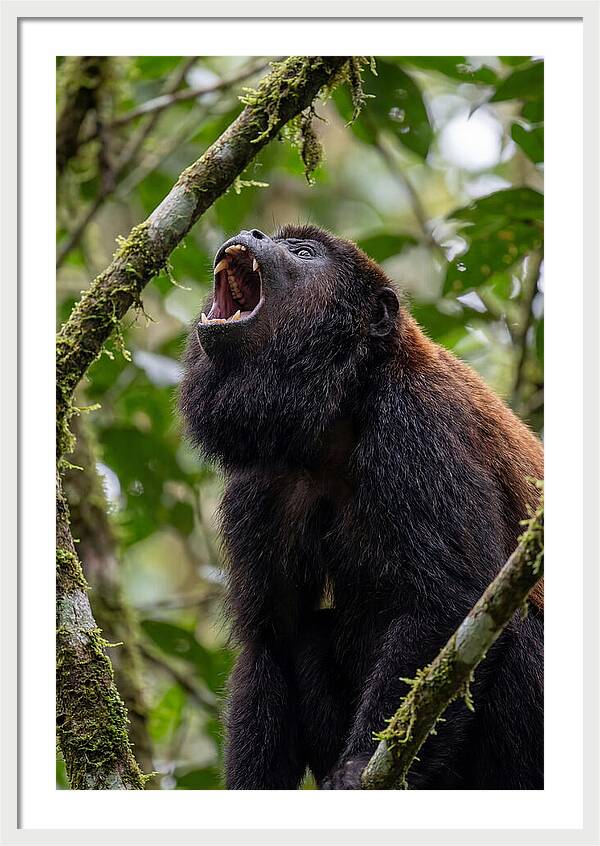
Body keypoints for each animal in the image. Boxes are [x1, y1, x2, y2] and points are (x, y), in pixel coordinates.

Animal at [179, 225, 544, 790]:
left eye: (303, 253)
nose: (252, 232)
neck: (341, 409)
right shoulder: (261, 482)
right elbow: (272, 639)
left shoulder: (416, 425)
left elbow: (450, 602)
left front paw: (355, 768)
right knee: (307, 636)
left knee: (517, 624)